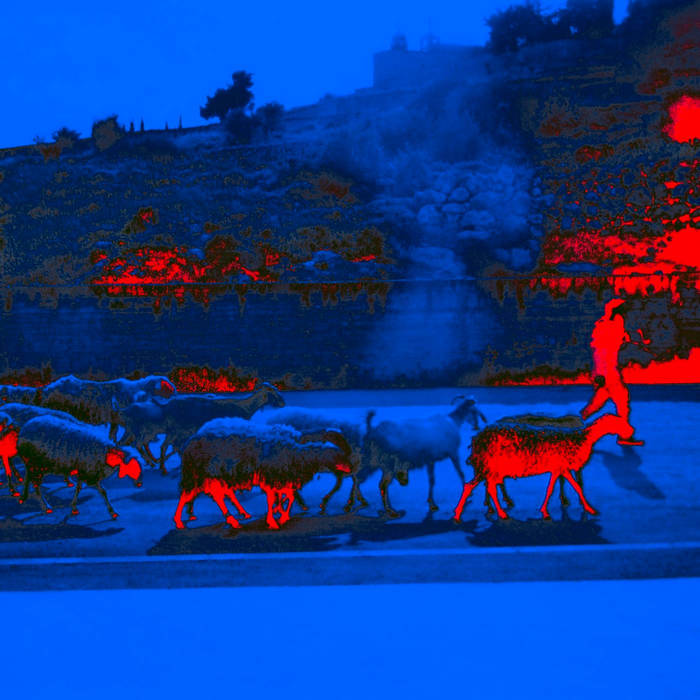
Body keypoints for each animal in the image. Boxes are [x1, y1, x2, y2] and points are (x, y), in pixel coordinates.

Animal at [118, 382, 285, 473]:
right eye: (273, 392)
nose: (283, 403)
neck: (245, 406)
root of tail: (166, 405)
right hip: (174, 430)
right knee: (163, 446)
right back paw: (162, 467)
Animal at [174, 418, 352, 530]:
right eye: (340, 455)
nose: (351, 468)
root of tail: (189, 443)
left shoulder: (281, 476)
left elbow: (289, 496)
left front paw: (282, 514)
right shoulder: (271, 475)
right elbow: (273, 498)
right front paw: (273, 520)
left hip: (218, 473)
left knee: (221, 494)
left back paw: (240, 515)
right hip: (203, 472)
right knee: (192, 494)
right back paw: (180, 521)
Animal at [361, 396, 494, 518]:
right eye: (474, 410)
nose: (477, 425)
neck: (453, 422)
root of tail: (372, 430)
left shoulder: (431, 460)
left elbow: (432, 479)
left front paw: (431, 503)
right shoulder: (453, 452)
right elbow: (459, 472)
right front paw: (467, 493)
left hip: (372, 462)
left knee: (363, 478)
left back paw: (368, 503)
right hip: (388, 464)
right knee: (382, 484)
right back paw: (391, 511)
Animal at [453, 413, 634, 521]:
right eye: (617, 422)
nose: (631, 430)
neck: (582, 438)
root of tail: (477, 438)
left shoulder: (559, 469)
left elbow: (555, 488)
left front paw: (546, 510)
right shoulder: (562, 467)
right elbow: (575, 487)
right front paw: (589, 508)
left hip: (488, 468)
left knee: (478, 486)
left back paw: (465, 512)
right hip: (489, 466)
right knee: (483, 486)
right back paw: (498, 512)